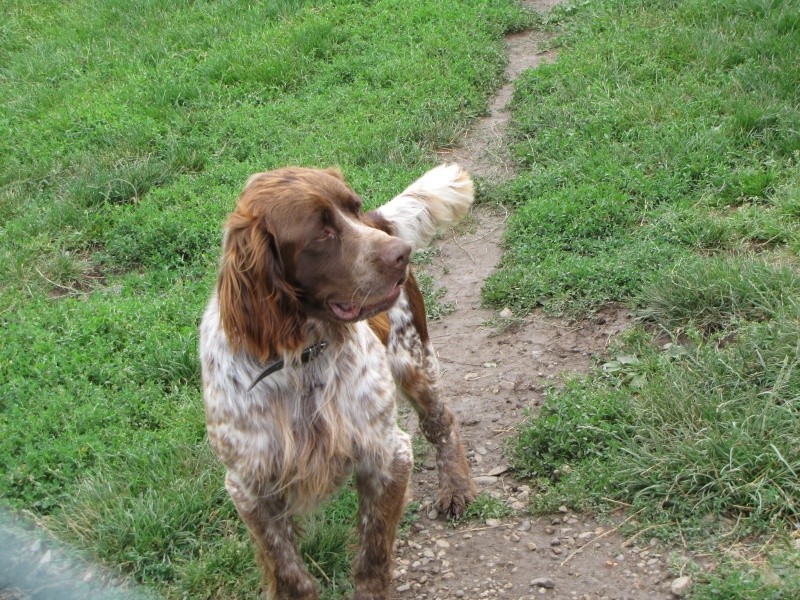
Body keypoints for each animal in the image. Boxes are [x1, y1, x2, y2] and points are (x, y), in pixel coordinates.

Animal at [199, 164, 476, 600]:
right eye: (321, 232)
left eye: (353, 207)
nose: (401, 253)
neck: (299, 360)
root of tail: (381, 221)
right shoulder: (250, 487)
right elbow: (288, 573)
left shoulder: (387, 454)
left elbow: (372, 557)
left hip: (414, 362)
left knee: (441, 422)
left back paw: (456, 487)